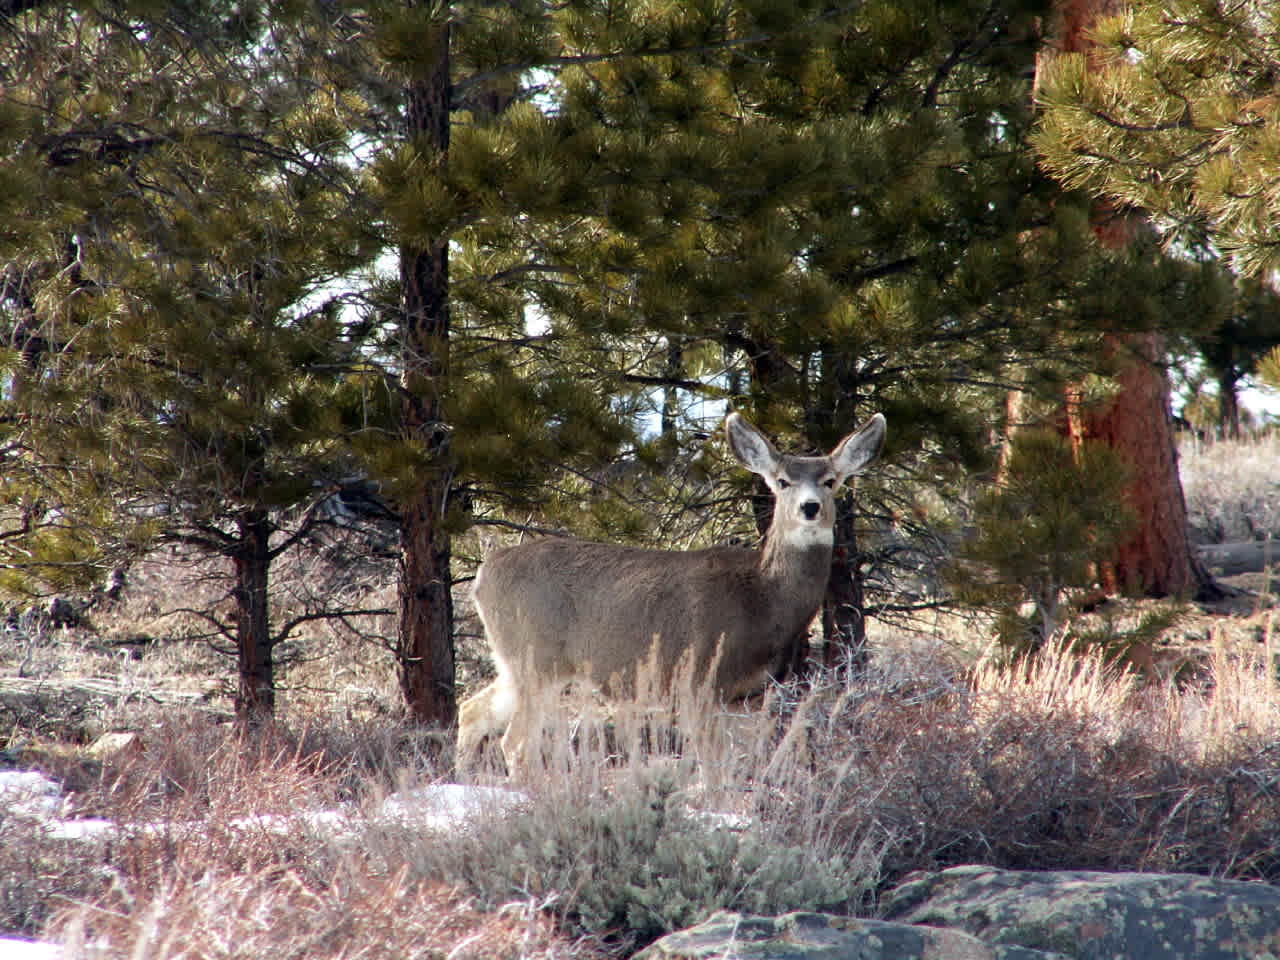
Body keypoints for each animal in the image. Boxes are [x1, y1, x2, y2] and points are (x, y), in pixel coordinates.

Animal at [460, 409, 890, 773]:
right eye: (782, 482)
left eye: (831, 481)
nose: (810, 507)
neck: (762, 598)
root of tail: (483, 577)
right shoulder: (698, 680)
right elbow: (712, 765)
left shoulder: (744, 698)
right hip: (537, 658)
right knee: (515, 742)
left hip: (515, 662)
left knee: (471, 711)